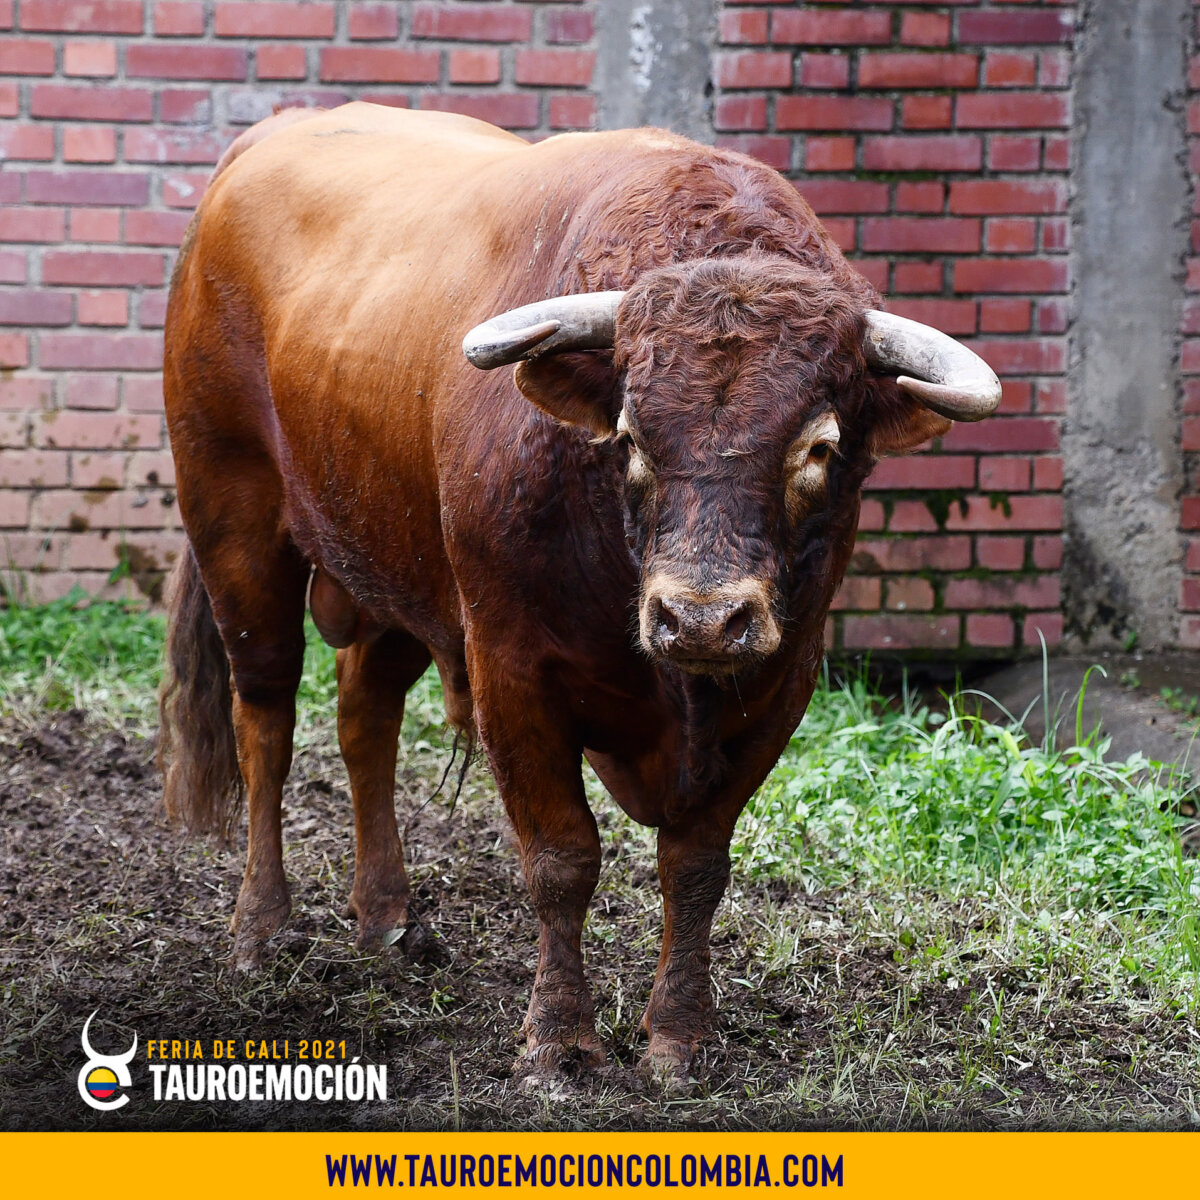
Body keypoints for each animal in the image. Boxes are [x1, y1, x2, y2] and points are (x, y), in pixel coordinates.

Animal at [159, 102, 999, 1079]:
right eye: (630, 435)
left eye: (819, 447)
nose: (701, 619)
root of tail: (265, 139)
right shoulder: (511, 671)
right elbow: (563, 857)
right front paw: (558, 1039)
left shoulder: (781, 678)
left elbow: (696, 863)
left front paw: (678, 1036)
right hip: (236, 526)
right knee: (267, 720)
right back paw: (261, 927)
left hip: (392, 570)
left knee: (365, 716)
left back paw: (389, 921)